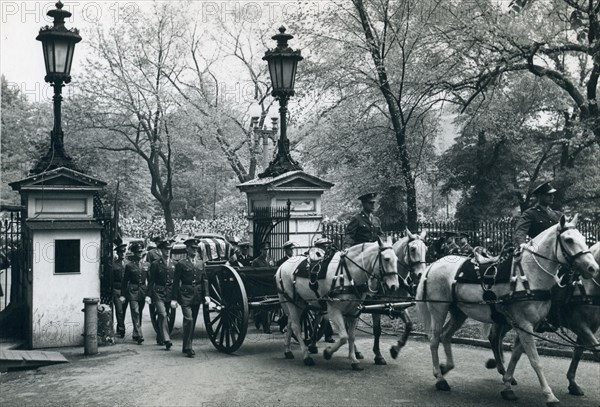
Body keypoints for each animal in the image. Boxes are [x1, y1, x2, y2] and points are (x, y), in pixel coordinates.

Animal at [276, 239, 398, 370]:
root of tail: (282, 266)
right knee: (296, 327)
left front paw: (353, 359)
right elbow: (344, 337)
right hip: (291, 302)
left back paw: (288, 350)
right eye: (386, 259)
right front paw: (328, 353)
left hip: (300, 303)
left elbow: (351, 336)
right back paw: (306, 356)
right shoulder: (334, 311)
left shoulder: (354, 312)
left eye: (396, 259)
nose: (394, 286)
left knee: (290, 323)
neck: (347, 273)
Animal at [418, 215, 600, 406]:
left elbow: (516, 355)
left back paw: (446, 367)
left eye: (583, 238)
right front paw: (549, 394)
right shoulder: (527, 325)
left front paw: (507, 384)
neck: (530, 277)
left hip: (459, 312)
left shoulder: (529, 326)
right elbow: (535, 360)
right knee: (434, 339)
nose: (593, 268)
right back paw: (440, 378)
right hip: (439, 309)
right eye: (569, 240)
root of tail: (434, 264)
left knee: (447, 335)